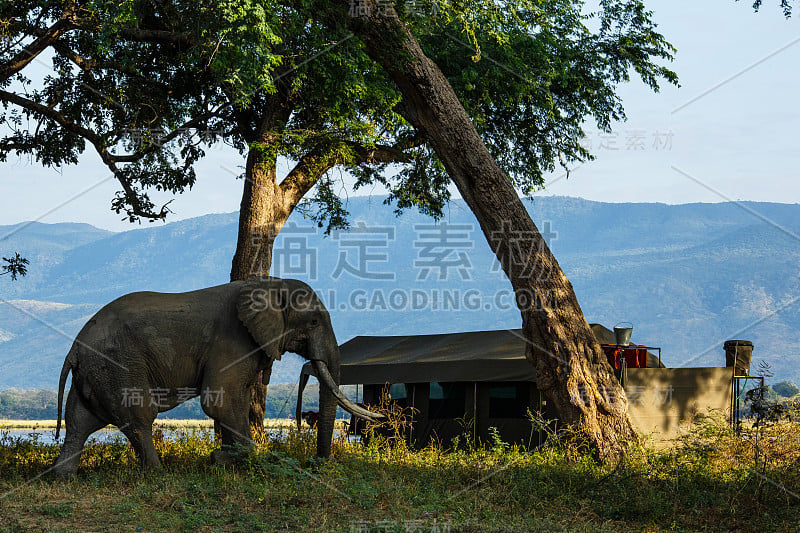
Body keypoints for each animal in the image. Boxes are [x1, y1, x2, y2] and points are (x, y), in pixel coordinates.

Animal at [53, 276, 382, 476]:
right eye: (313, 321)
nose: (315, 463)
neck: (271, 284)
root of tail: (74, 348)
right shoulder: (233, 339)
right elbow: (219, 401)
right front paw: (222, 459)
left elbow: (235, 400)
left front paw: (224, 456)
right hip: (119, 365)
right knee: (138, 417)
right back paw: (158, 472)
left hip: (97, 372)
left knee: (79, 422)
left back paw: (63, 476)